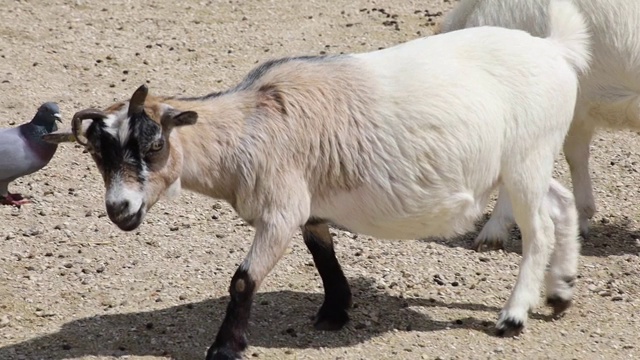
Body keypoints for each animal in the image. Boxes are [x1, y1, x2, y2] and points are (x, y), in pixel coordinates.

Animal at [43, 1, 592, 358]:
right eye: (96, 155)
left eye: (154, 144)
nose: (119, 210)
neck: (250, 126)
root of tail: (555, 51)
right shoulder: (308, 203)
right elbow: (322, 252)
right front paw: (335, 311)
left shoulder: (280, 207)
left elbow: (243, 280)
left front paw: (225, 348)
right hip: (527, 161)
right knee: (561, 204)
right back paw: (561, 292)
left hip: (526, 159)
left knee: (539, 230)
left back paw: (514, 316)